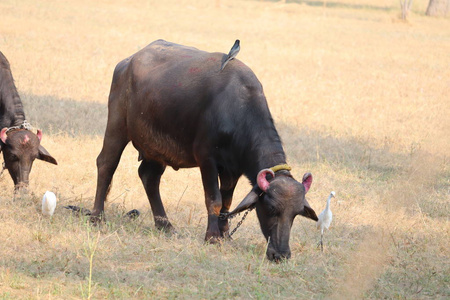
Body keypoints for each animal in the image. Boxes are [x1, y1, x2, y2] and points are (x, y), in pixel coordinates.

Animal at [92, 39, 316, 260]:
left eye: (295, 213)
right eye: (270, 208)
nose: (281, 254)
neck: (236, 108)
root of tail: (126, 63)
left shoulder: (233, 169)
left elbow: (227, 202)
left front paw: (226, 234)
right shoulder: (207, 160)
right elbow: (214, 199)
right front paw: (212, 236)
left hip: (155, 148)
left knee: (149, 177)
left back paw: (165, 224)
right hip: (117, 126)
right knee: (106, 164)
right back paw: (97, 216)